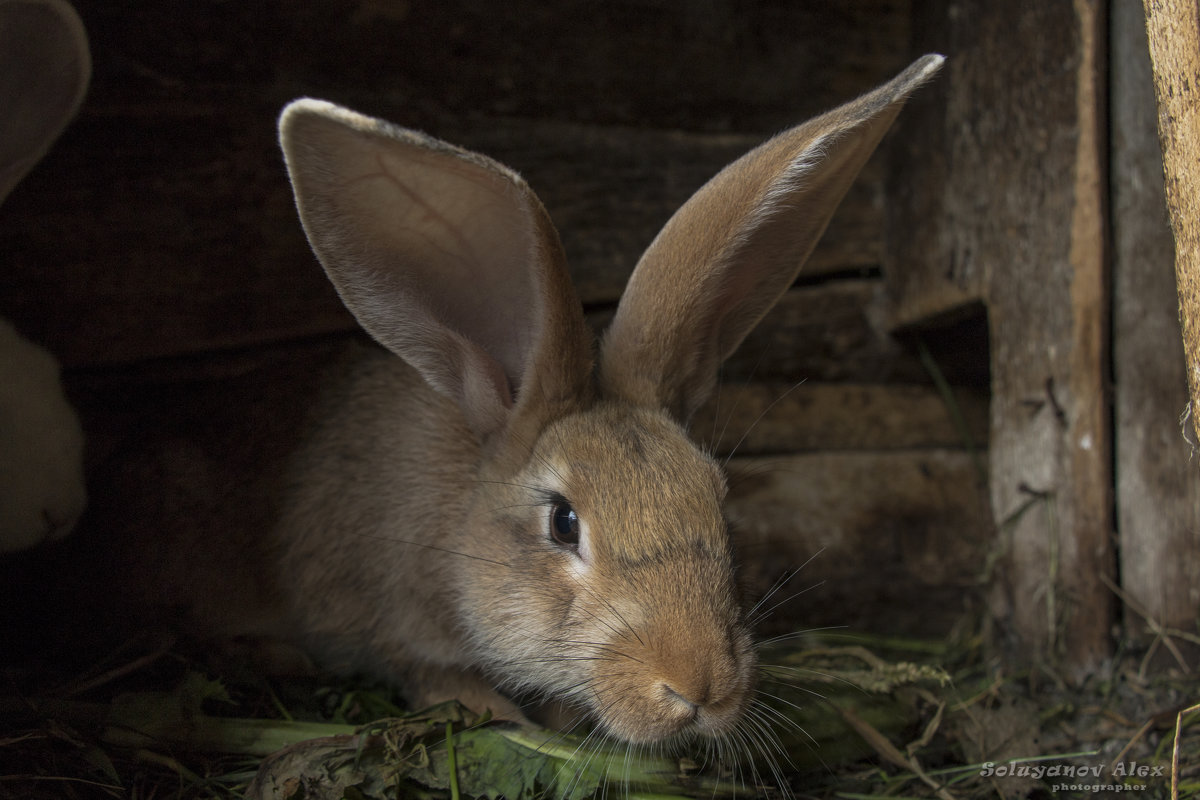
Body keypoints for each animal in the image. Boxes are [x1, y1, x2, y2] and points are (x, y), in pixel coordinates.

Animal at [16, 53, 945, 748]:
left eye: (720, 501)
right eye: (563, 523)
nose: (702, 688)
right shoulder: (380, 610)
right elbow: (427, 669)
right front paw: (495, 710)